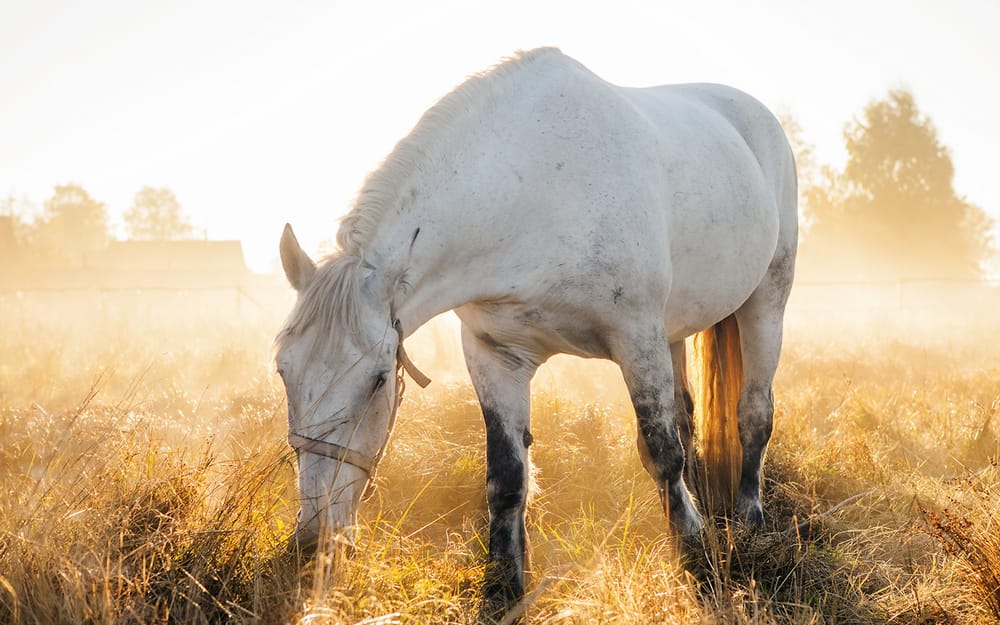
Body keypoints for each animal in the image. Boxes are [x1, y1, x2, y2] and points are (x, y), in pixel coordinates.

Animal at [274, 47, 796, 616]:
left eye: (378, 381)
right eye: (282, 371)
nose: (314, 539)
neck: (535, 194)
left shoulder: (636, 338)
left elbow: (662, 452)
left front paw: (697, 558)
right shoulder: (495, 355)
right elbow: (507, 477)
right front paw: (504, 588)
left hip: (765, 301)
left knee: (753, 414)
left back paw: (749, 522)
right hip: (675, 329)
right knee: (687, 414)